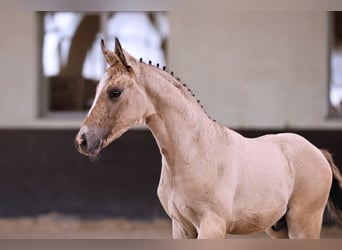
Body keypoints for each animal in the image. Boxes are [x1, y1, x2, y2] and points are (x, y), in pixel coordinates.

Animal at [75, 38, 342, 239]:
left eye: (115, 92)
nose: (83, 140)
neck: (194, 152)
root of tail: (318, 152)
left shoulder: (211, 226)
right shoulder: (181, 228)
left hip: (304, 224)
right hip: (278, 229)